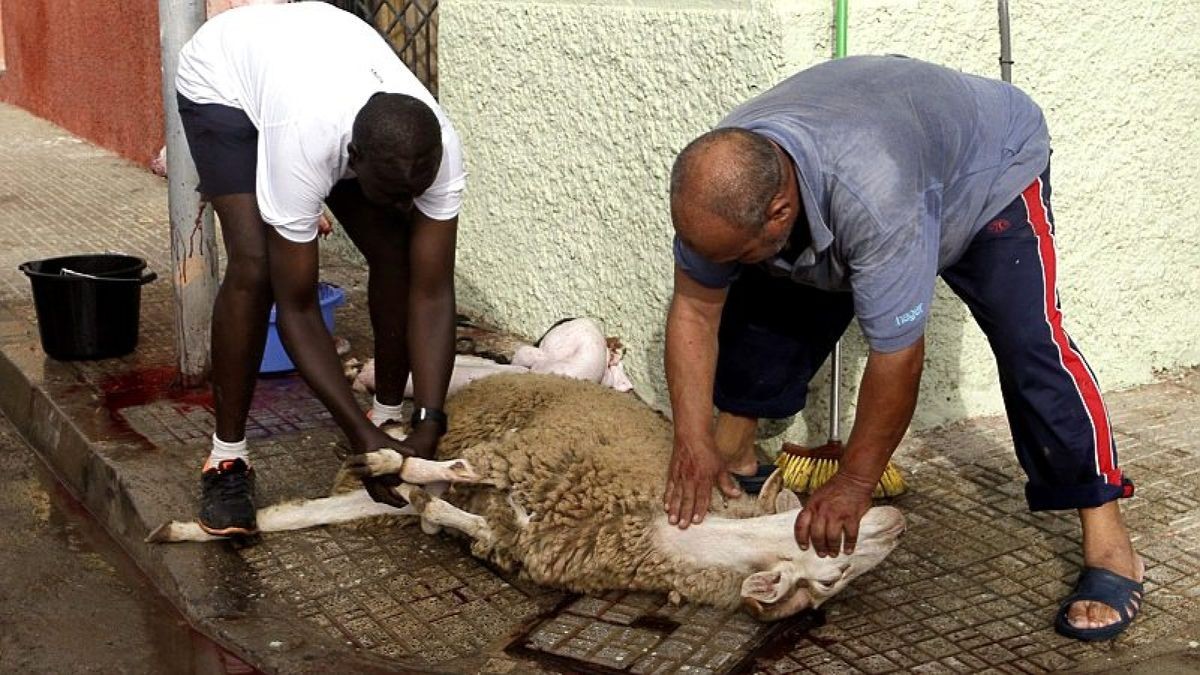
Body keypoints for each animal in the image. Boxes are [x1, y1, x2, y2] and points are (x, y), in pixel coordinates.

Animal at [150, 373, 904, 621]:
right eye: (835, 557)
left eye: (830, 582)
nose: (896, 522)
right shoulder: (532, 454)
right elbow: (448, 468)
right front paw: (403, 464)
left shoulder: (531, 532)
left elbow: (474, 519)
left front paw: (442, 517)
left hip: (374, 502)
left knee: (303, 513)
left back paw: (193, 529)